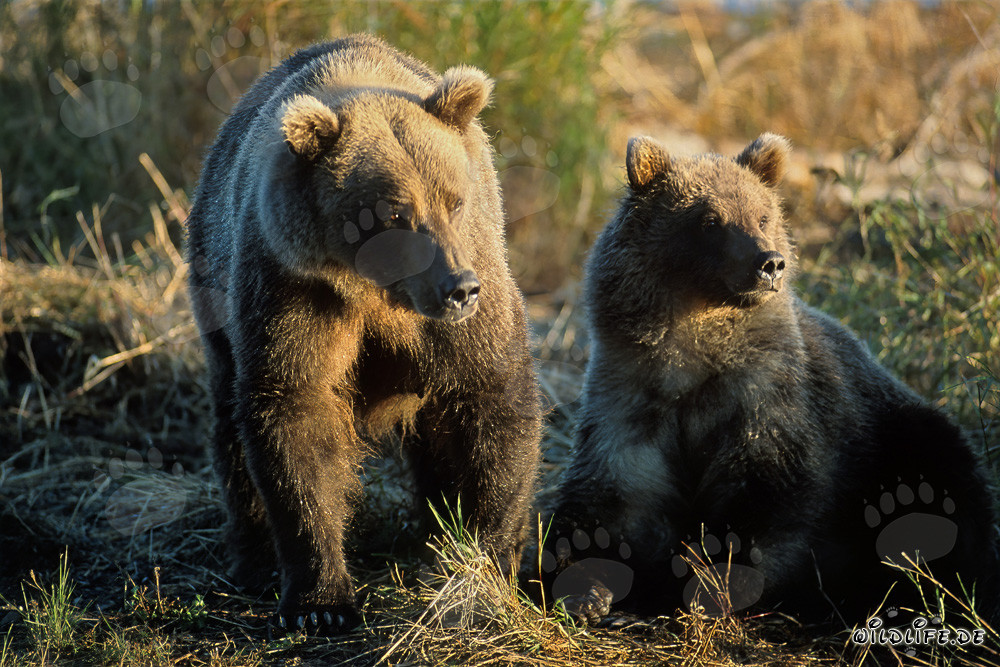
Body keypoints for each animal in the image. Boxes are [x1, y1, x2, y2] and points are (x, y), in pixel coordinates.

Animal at [185, 34, 542, 635]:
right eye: (395, 215)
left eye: (455, 200)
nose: (459, 289)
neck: (379, 294)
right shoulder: (296, 292)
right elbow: (295, 412)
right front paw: (321, 602)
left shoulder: (470, 294)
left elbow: (491, 399)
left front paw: (482, 564)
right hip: (215, 289)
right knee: (230, 427)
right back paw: (253, 558)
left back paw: (433, 532)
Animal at [542, 134, 999, 629]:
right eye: (710, 220)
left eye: (762, 215)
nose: (770, 262)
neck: (691, 354)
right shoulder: (632, 397)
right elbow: (615, 496)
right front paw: (586, 581)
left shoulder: (766, 393)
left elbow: (771, 490)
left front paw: (715, 582)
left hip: (900, 429)